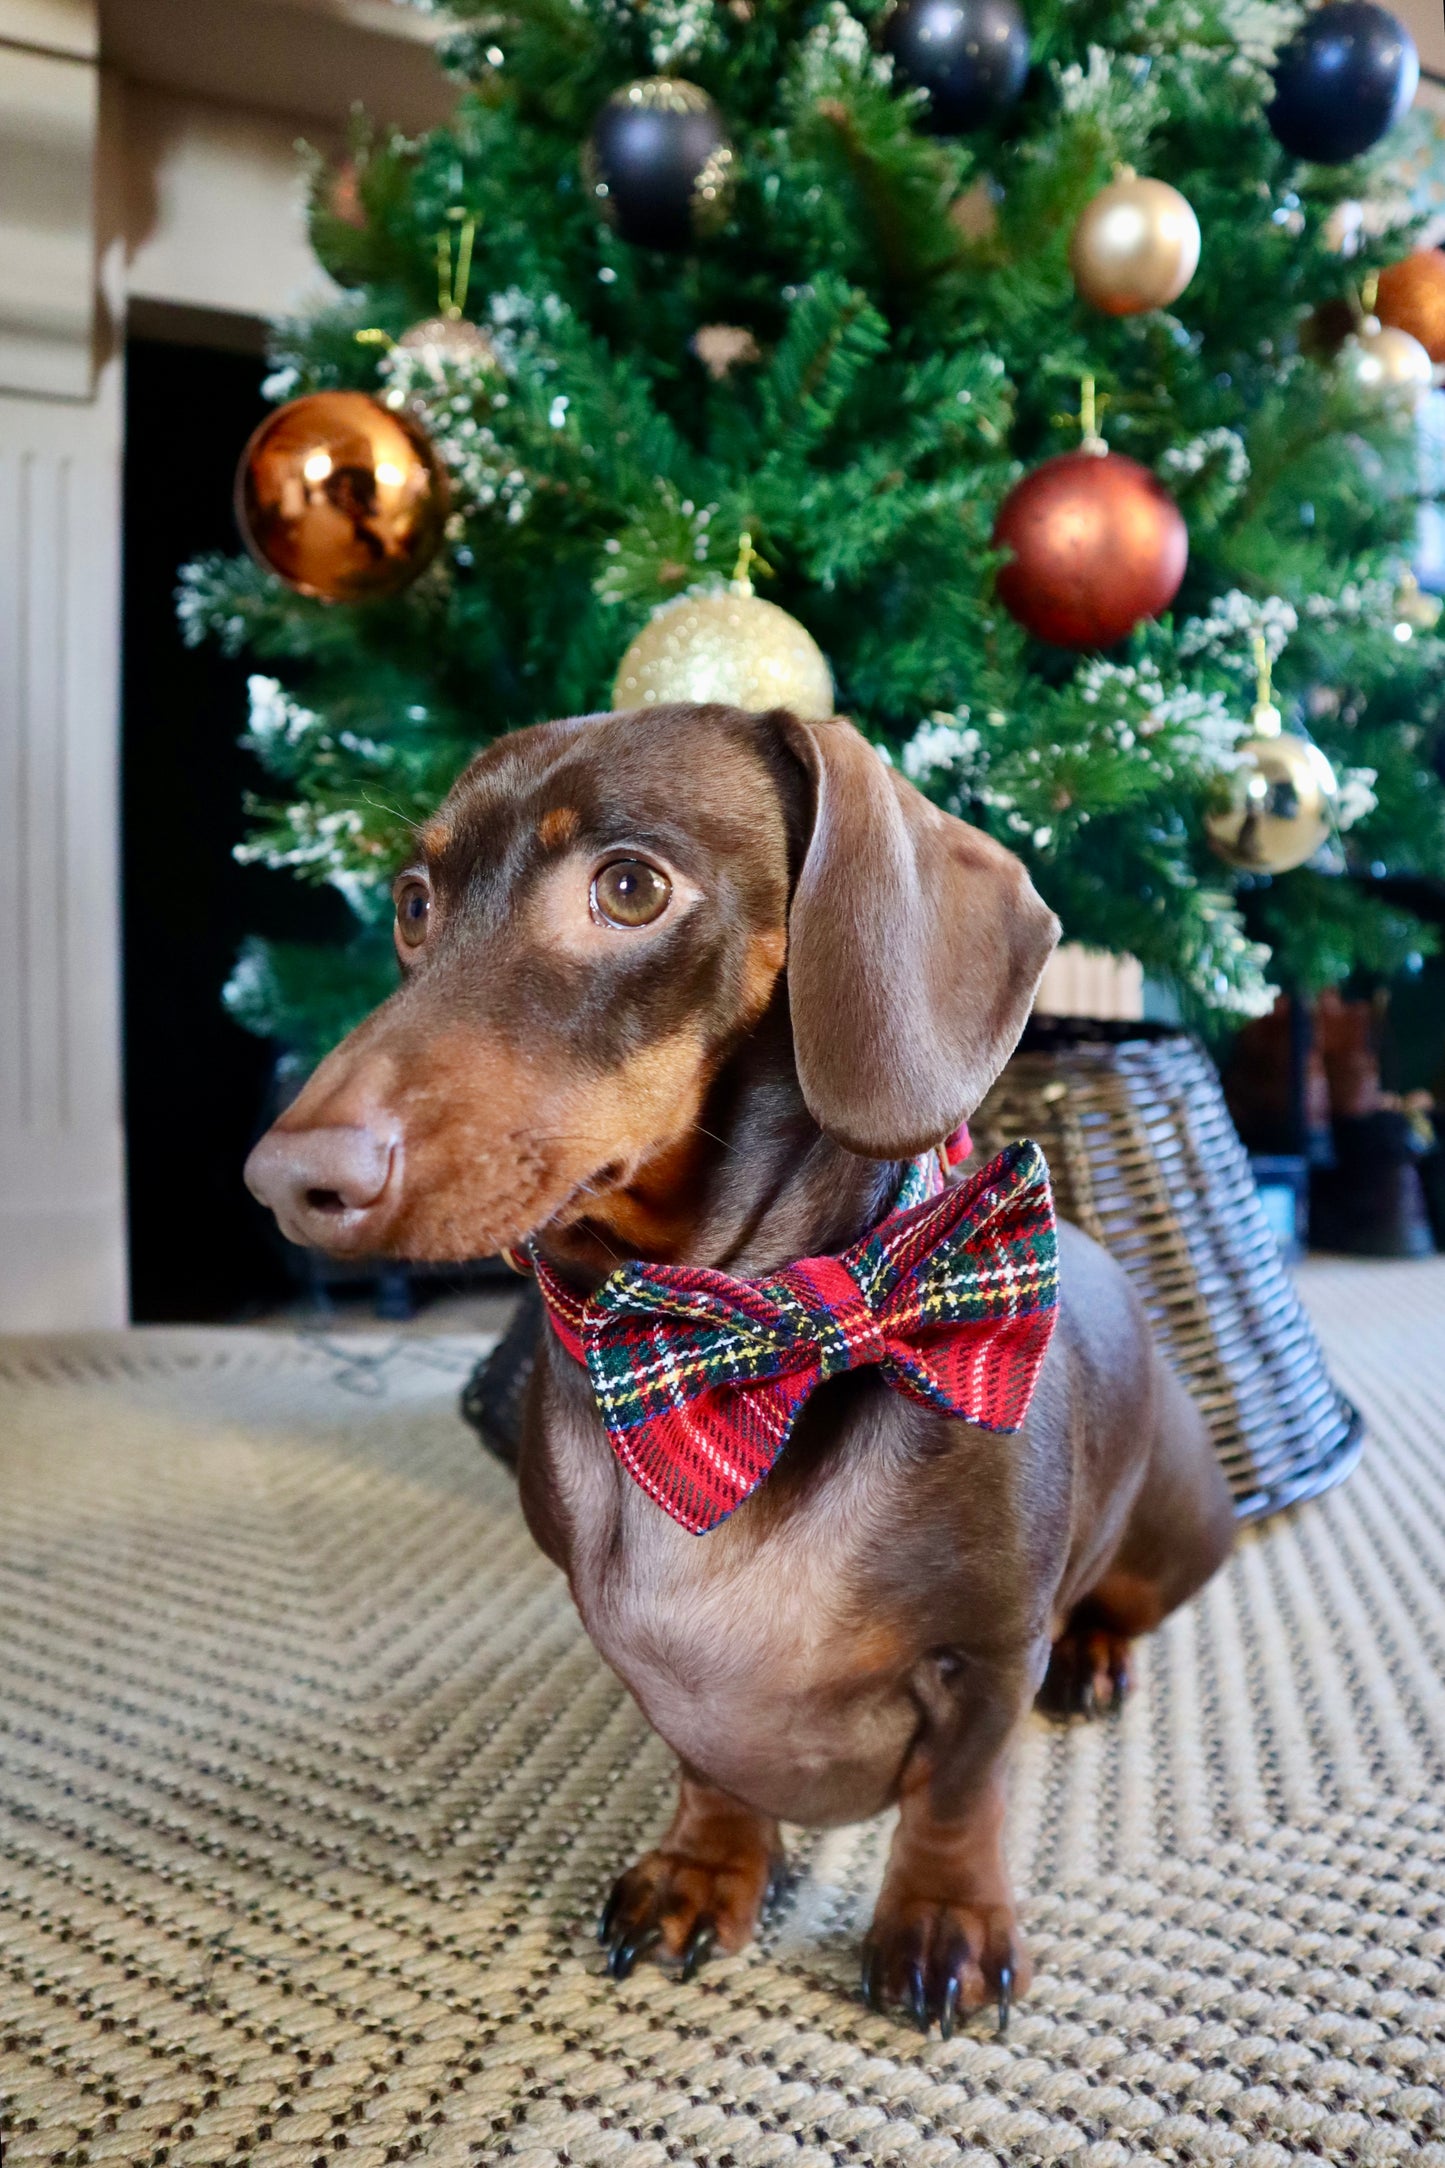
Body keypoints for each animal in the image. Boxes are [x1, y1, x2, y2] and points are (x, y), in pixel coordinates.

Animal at [245, 706, 1230, 2029]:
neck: (736, 1343)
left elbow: (958, 1788)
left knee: (1121, 1603)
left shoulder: (986, 1651)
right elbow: (706, 1762)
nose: (286, 1180)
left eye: (628, 887)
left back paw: (1096, 1657)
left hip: (1174, 1525)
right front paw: (706, 1867)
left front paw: (943, 1917)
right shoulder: (643, 1654)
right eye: (411, 901)